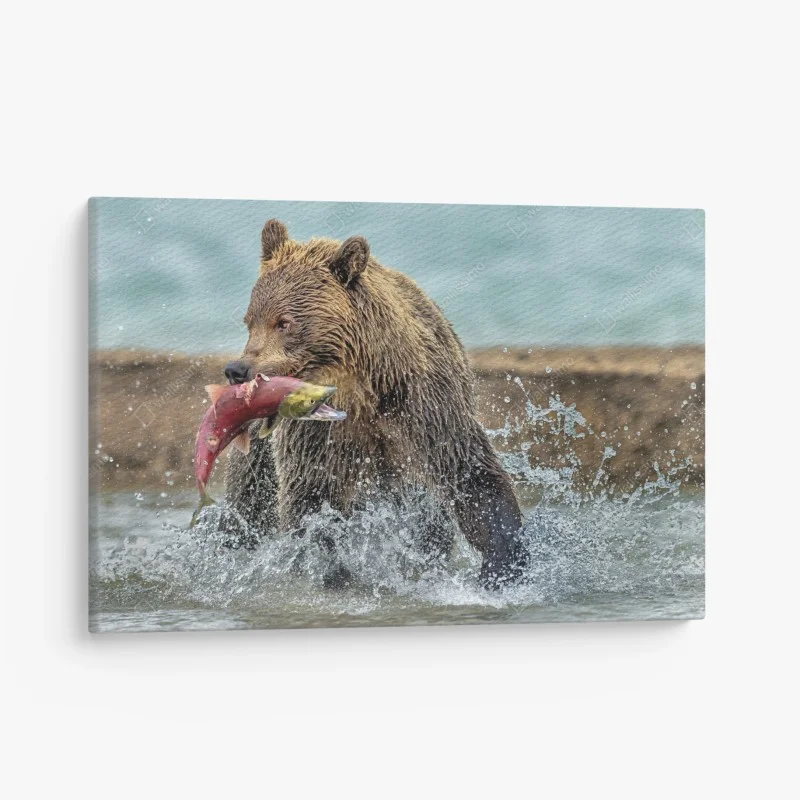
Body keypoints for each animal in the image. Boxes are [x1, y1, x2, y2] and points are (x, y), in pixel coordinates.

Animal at [223, 219, 528, 588]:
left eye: (284, 322)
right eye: (249, 321)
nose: (238, 370)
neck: (362, 387)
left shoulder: (424, 404)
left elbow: (468, 470)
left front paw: (502, 562)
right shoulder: (316, 433)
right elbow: (312, 495)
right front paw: (329, 568)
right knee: (247, 503)